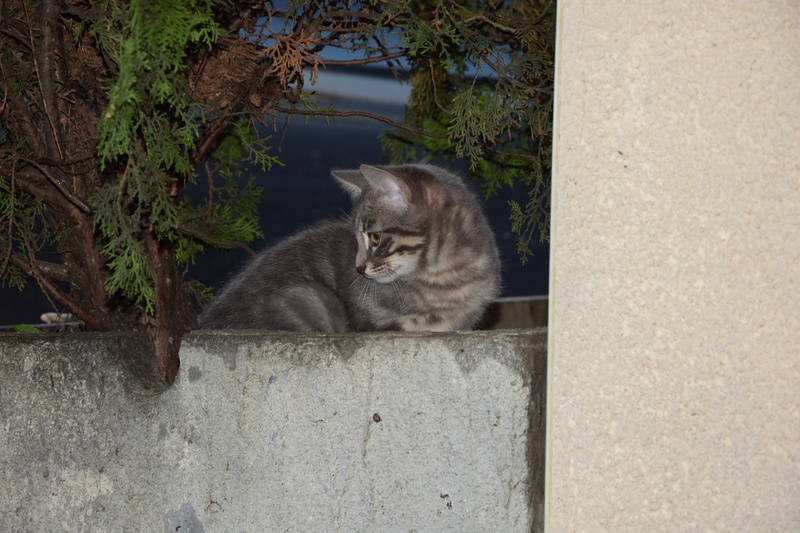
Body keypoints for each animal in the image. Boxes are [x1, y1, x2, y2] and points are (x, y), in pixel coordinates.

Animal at [198, 162, 500, 330]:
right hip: (310, 297)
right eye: (356, 238)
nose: (358, 268)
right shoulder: (374, 323)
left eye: (375, 238)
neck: (447, 280)